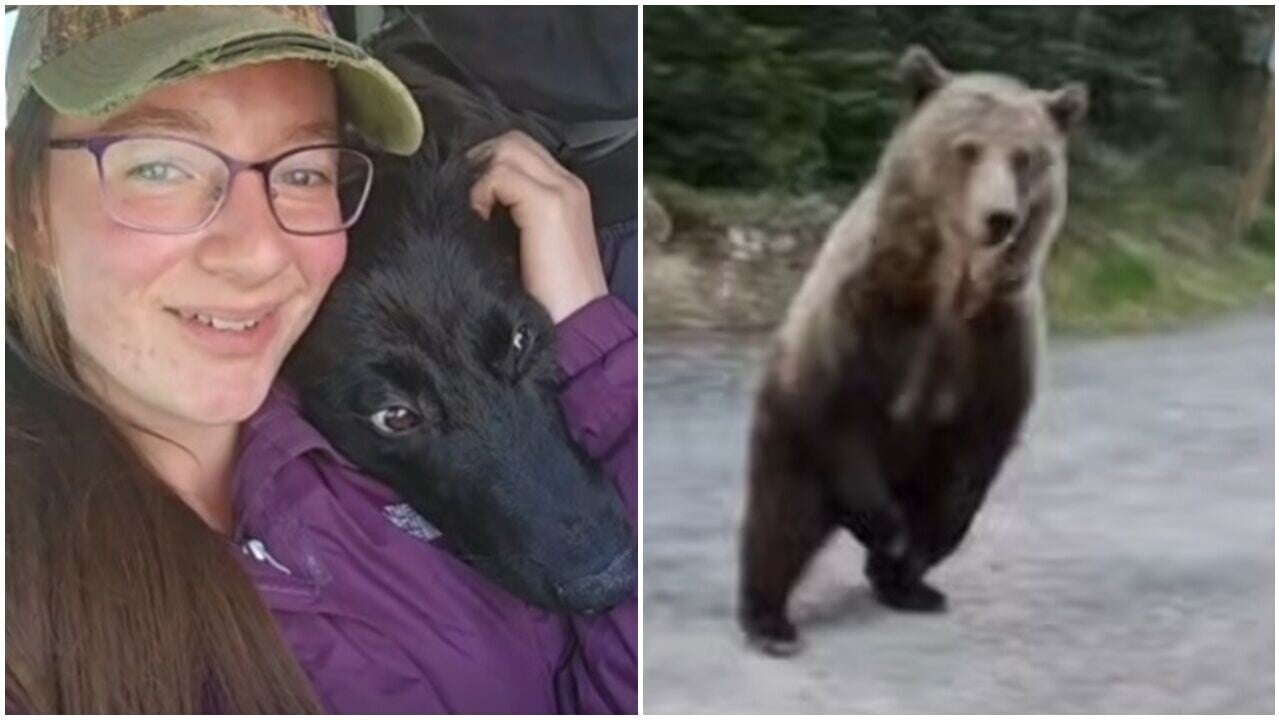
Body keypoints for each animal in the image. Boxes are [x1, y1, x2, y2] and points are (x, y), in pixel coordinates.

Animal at [737, 46, 1087, 655]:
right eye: (967, 148)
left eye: (1025, 157)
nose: (999, 218)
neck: (952, 282)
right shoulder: (868, 306)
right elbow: (839, 408)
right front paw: (888, 530)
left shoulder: (996, 336)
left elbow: (975, 453)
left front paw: (904, 554)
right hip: (790, 443)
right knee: (781, 519)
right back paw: (772, 619)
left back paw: (909, 585)